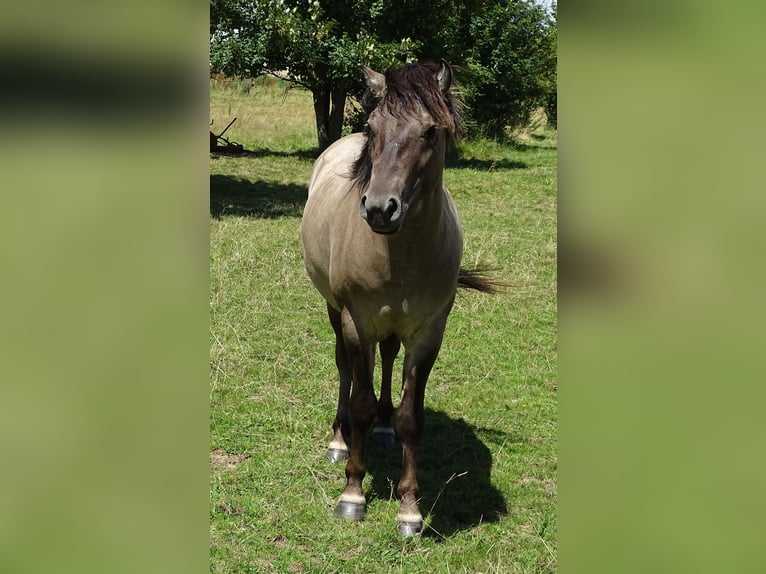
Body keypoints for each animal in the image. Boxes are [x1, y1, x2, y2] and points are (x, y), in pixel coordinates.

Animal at [304, 60, 496, 536]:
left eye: (430, 132)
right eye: (372, 128)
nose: (379, 208)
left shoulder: (429, 332)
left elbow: (413, 417)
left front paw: (409, 508)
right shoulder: (357, 322)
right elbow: (359, 403)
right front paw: (352, 494)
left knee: (387, 360)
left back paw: (385, 428)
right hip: (336, 312)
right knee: (345, 370)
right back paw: (340, 440)